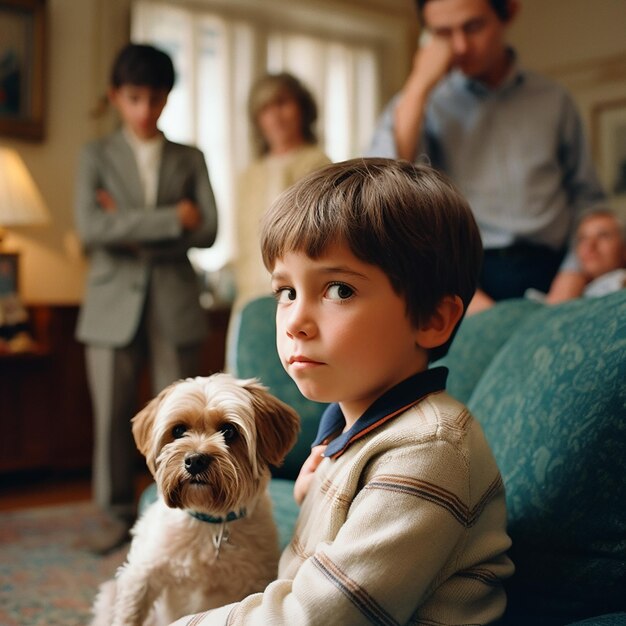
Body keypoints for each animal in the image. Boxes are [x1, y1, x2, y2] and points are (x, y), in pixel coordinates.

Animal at [89, 372, 300, 620]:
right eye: (179, 431)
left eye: (229, 431)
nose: (195, 460)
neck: (209, 523)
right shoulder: (141, 575)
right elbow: (129, 615)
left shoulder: (255, 585)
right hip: (110, 593)